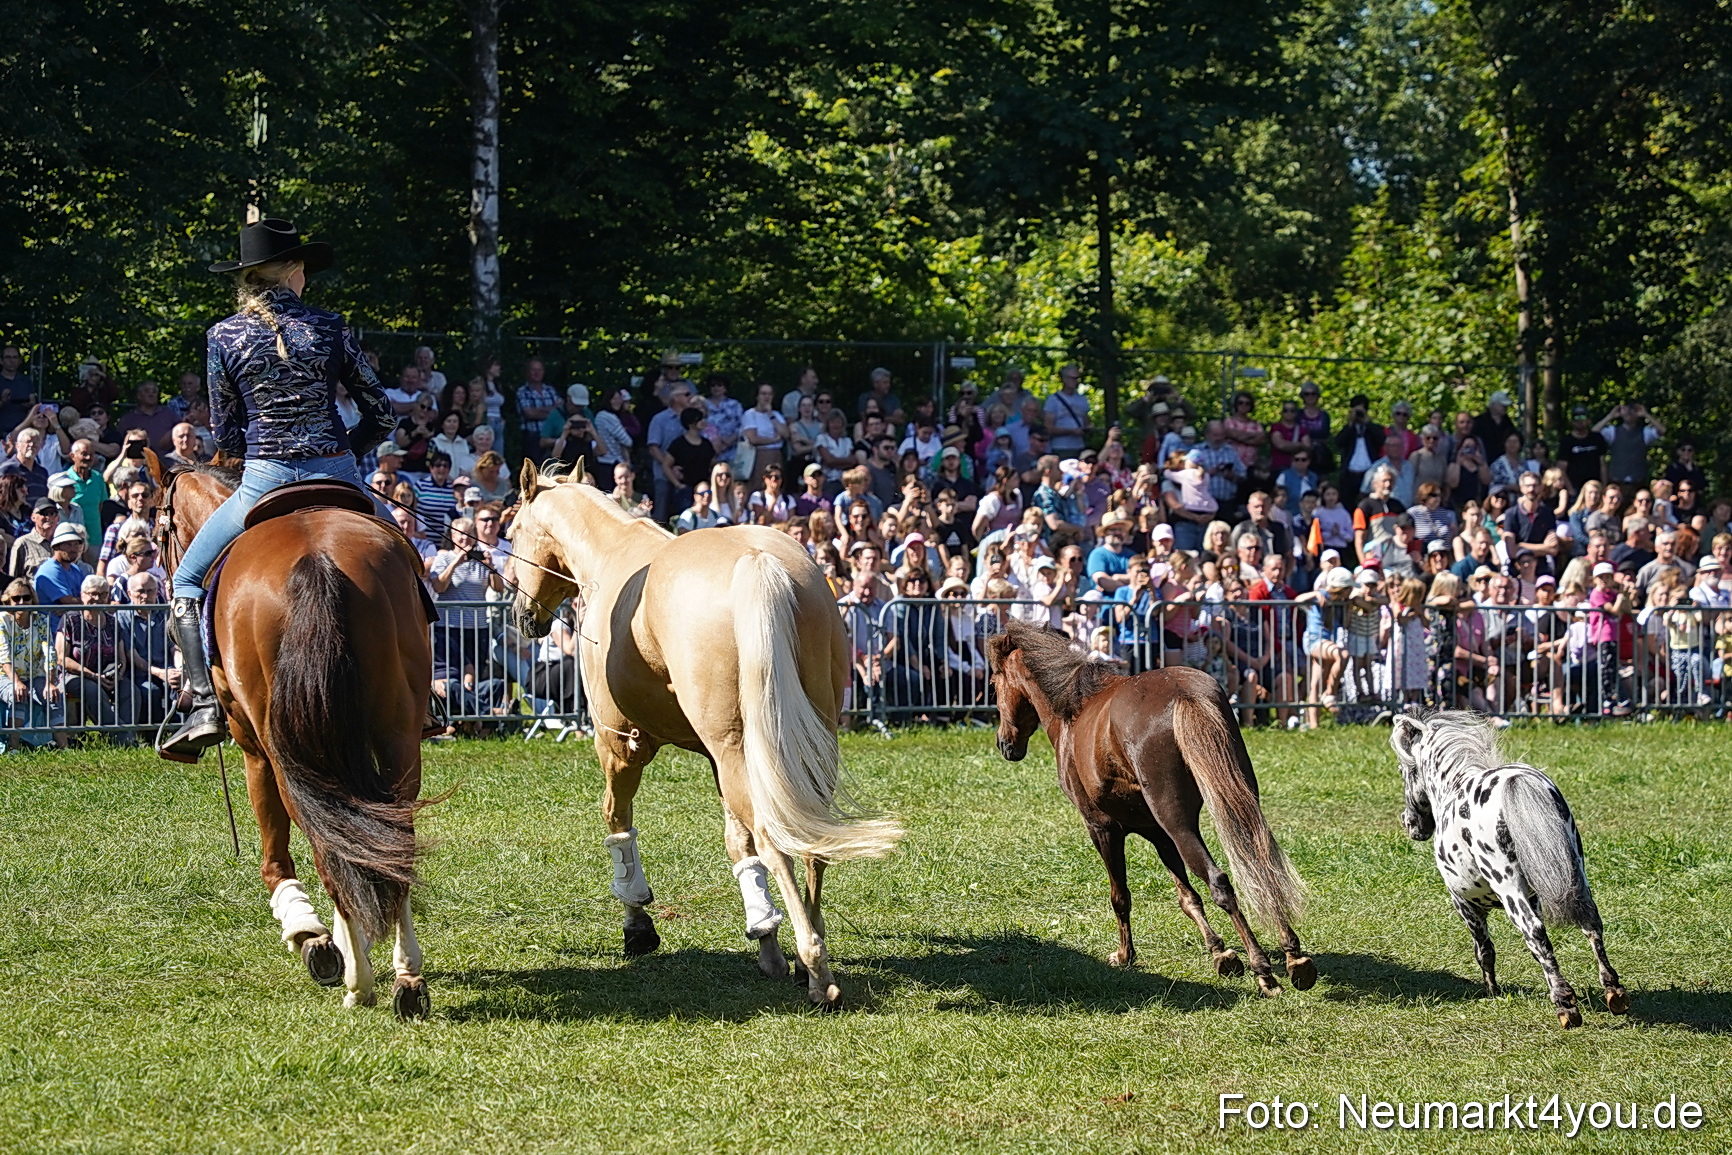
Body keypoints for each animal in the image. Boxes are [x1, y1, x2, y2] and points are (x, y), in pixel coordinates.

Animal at [160, 462, 435, 1017]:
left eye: (161, 530)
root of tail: (317, 558)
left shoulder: (252, 746)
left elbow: (276, 852)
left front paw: (311, 935)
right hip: (398, 734)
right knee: (393, 843)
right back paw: (407, 978)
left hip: (284, 750)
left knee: (326, 850)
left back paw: (357, 982)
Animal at [504, 462, 901, 1008]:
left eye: (512, 533)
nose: (523, 617)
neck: (612, 556)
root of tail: (757, 561)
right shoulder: (719, 760)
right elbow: (738, 844)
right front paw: (765, 938)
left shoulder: (620, 744)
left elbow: (618, 824)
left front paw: (637, 923)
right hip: (801, 742)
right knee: (807, 842)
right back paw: (807, 952)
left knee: (776, 842)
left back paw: (817, 968)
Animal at [987, 620, 1314, 995]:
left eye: (994, 684)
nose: (1005, 744)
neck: (1075, 708)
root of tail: (1183, 694)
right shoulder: (1158, 834)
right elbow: (1187, 896)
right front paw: (1220, 952)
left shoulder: (1103, 829)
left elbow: (1121, 896)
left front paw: (1124, 955)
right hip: (1234, 806)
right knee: (1260, 864)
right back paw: (1293, 956)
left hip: (1178, 824)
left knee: (1219, 881)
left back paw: (1263, 970)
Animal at [1390, 710, 1628, 1028]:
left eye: (1404, 770)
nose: (1410, 823)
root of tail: (1516, 781)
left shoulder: (1464, 904)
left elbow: (1485, 950)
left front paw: (1491, 991)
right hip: (1577, 876)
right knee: (1591, 925)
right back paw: (1613, 992)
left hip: (1509, 890)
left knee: (1534, 932)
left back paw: (1565, 1004)